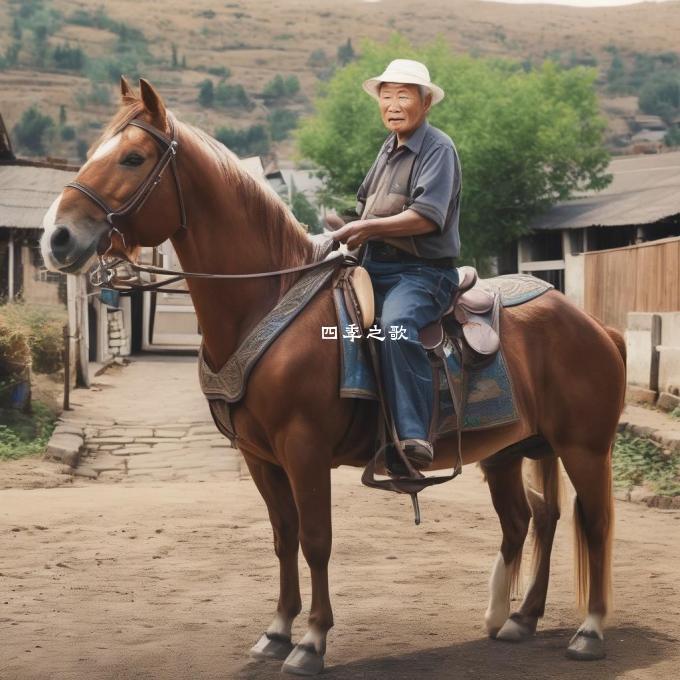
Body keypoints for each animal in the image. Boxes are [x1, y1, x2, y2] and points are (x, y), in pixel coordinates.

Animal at [41, 78, 628, 676]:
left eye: (133, 158)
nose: (56, 237)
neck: (266, 301)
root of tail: (593, 324)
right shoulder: (260, 457)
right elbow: (284, 537)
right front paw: (277, 630)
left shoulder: (304, 448)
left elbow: (316, 540)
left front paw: (311, 641)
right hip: (513, 450)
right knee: (531, 519)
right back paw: (518, 618)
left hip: (584, 447)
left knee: (594, 522)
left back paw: (589, 630)